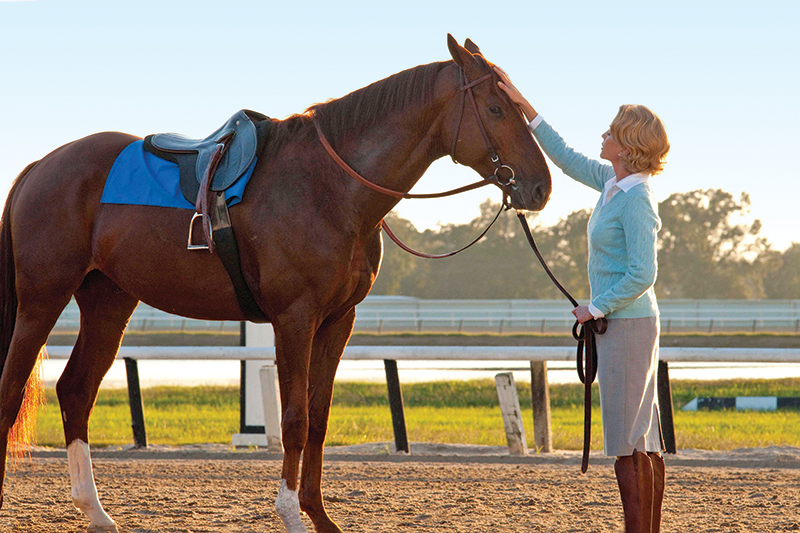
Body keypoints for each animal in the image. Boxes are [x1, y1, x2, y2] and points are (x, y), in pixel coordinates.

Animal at [0, 35, 550, 533]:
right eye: (496, 107)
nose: (541, 187)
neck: (332, 186)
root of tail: (41, 165)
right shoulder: (295, 319)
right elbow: (294, 420)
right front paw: (290, 513)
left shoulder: (337, 322)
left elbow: (318, 418)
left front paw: (319, 515)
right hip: (42, 300)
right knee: (12, 390)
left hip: (108, 302)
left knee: (75, 390)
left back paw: (95, 511)